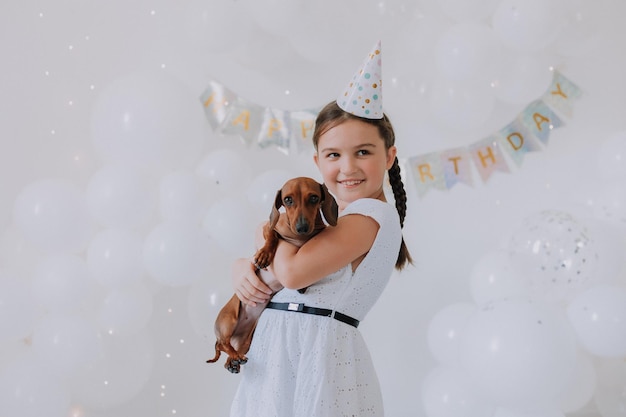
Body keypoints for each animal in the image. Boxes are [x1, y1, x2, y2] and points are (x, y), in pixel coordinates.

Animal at [207, 177, 336, 372]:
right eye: (288, 199)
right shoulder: (268, 227)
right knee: (223, 344)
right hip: (228, 320)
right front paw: (264, 254)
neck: (299, 237)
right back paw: (234, 357)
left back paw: (233, 361)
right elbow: (272, 236)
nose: (302, 227)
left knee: (230, 349)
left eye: (314, 198)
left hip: (246, 341)